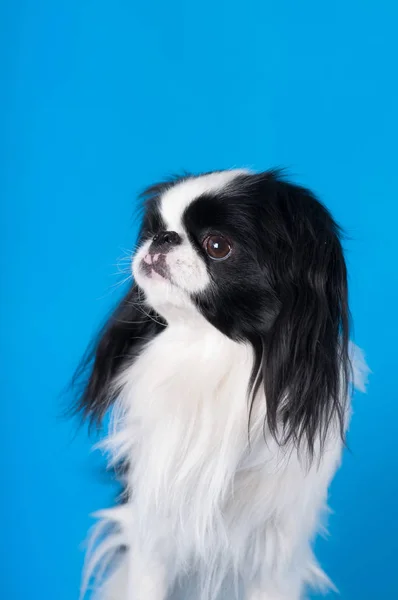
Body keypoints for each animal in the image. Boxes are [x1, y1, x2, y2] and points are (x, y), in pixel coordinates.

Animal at [76, 169, 368, 600]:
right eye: (154, 229)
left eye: (217, 246)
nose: (163, 238)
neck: (209, 354)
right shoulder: (153, 536)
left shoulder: (273, 554)